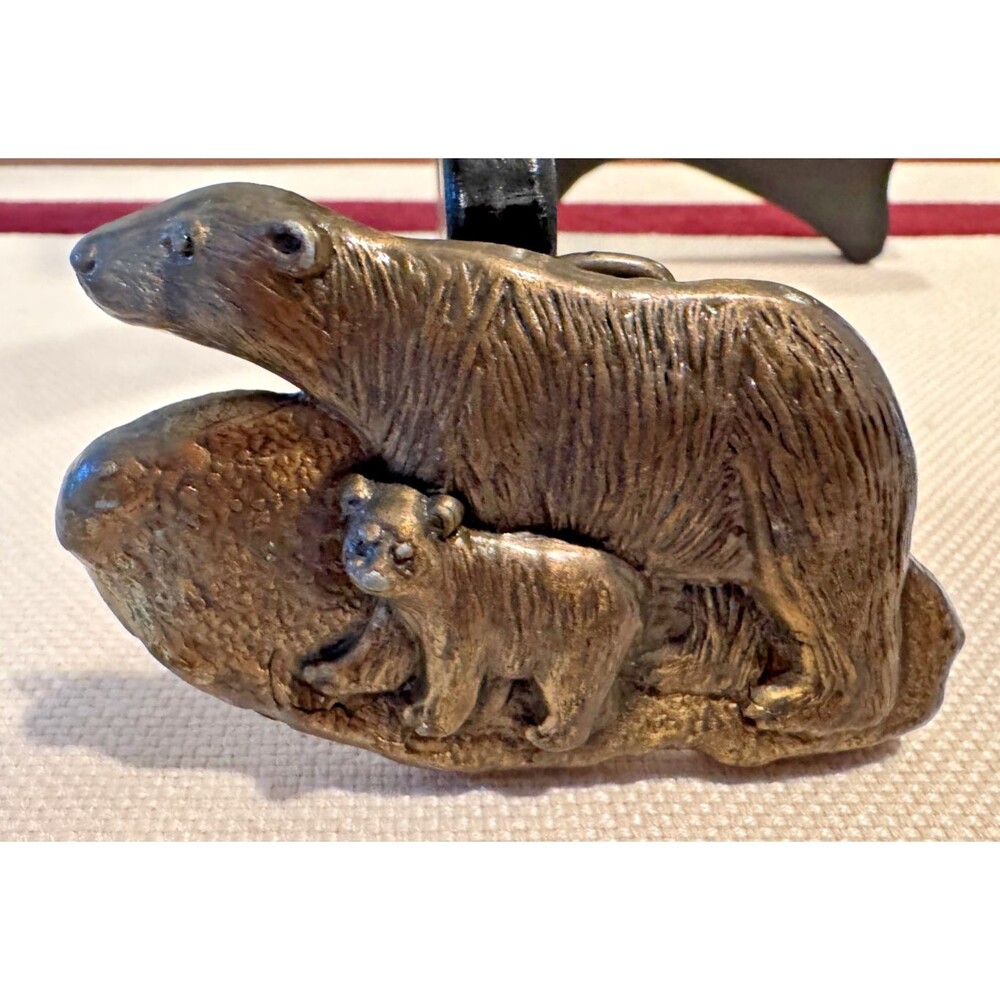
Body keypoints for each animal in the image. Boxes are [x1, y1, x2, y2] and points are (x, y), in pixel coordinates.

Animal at [336, 474, 645, 751]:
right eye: (361, 544)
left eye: (403, 555)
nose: (374, 575)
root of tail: (626, 578)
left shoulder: (458, 639)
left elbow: (450, 684)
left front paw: (430, 723)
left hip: (577, 659)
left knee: (574, 704)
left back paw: (547, 736)